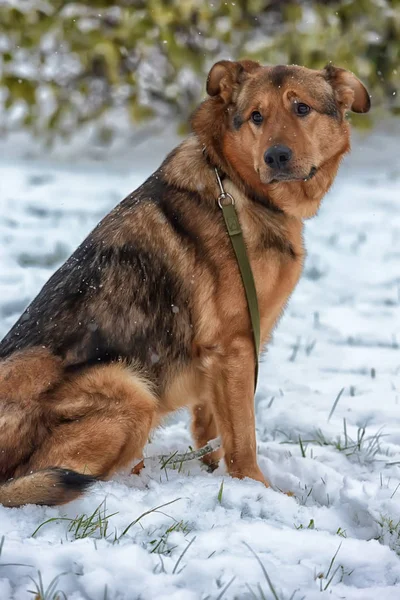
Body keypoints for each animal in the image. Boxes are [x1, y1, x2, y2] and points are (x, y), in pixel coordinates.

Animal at [0, 59, 368, 506]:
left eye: (302, 108)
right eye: (256, 116)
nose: (276, 156)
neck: (235, 184)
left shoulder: (222, 356)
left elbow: (213, 428)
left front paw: (215, 474)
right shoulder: (235, 346)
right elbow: (243, 436)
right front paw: (256, 487)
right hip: (130, 389)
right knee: (54, 477)